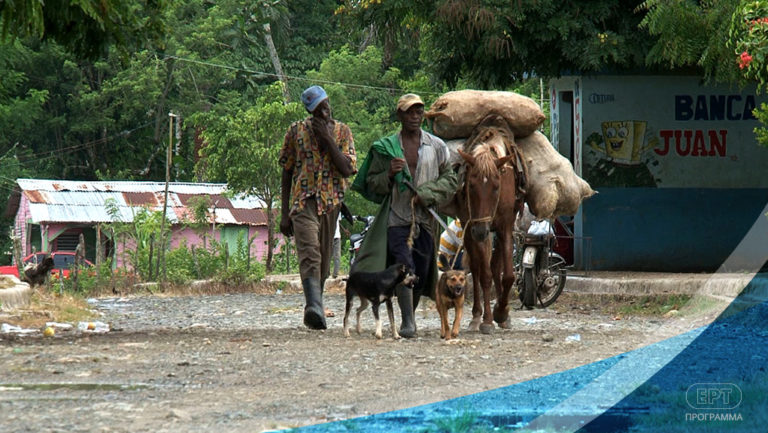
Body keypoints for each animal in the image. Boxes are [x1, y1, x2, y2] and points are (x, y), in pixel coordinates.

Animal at [456, 115, 520, 334]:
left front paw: (502, 311)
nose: (481, 231)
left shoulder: (505, 227)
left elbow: (507, 275)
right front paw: (487, 319)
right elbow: (484, 274)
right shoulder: (475, 228)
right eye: (471, 185)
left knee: (495, 264)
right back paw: (478, 316)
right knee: (476, 270)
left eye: (496, 186)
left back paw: (504, 315)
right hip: (470, 231)